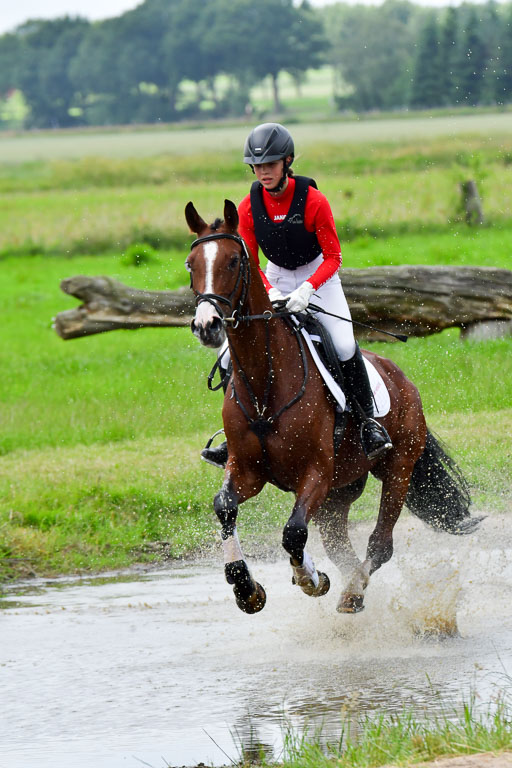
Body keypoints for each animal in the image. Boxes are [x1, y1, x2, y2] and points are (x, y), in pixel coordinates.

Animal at [185, 199, 481, 615]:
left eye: (232, 261)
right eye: (190, 264)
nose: (207, 325)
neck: (265, 383)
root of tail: (404, 381)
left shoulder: (317, 473)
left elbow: (293, 532)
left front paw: (309, 579)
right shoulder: (247, 469)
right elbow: (226, 506)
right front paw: (246, 587)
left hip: (398, 469)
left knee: (379, 544)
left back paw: (352, 593)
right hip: (341, 491)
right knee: (339, 544)